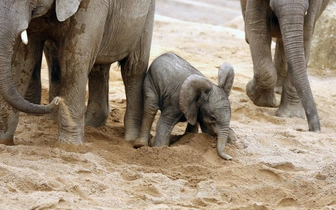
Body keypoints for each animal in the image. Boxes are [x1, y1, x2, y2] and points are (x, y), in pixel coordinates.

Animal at [0, 0, 155, 144]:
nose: (57, 101)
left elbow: (75, 58)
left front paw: (69, 146)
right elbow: (23, 58)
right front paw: (4, 141)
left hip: (147, 16)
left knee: (133, 68)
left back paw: (131, 139)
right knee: (99, 66)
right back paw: (91, 126)